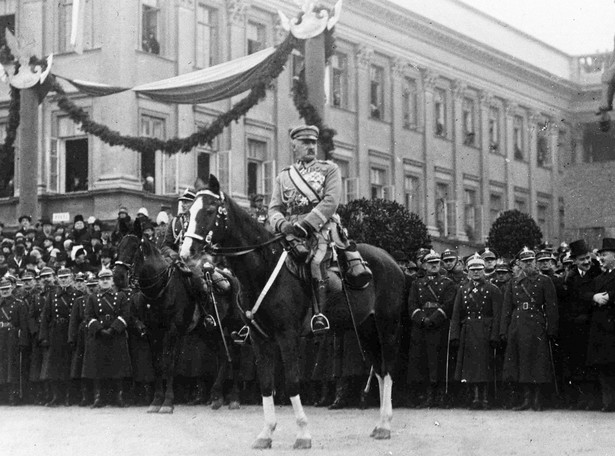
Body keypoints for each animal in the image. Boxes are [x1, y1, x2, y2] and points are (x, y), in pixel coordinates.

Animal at [113, 235, 243, 414]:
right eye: (119, 248)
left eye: (134, 249)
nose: (117, 277)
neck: (160, 288)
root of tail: (230, 276)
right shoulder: (152, 332)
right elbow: (157, 364)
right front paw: (156, 401)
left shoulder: (172, 332)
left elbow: (169, 364)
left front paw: (167, 402)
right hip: (208, 332)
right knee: (224, 356)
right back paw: (216, 397)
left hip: (233, 325)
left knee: (235, 356)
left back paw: (234, 398)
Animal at [180, 175, 406, 448]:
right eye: (188, 212)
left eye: (210, 210)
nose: (186, 252)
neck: (263, 268)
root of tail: (391, 261)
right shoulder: (259, 339)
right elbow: (266, 384)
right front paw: (266, 434)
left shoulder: (287, 337)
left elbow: (291, 383)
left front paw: (303, 434)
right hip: (365, 329)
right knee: (380, 370)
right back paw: (380, 424)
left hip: (387, 327)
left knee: (388, 370)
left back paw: (386, 424)